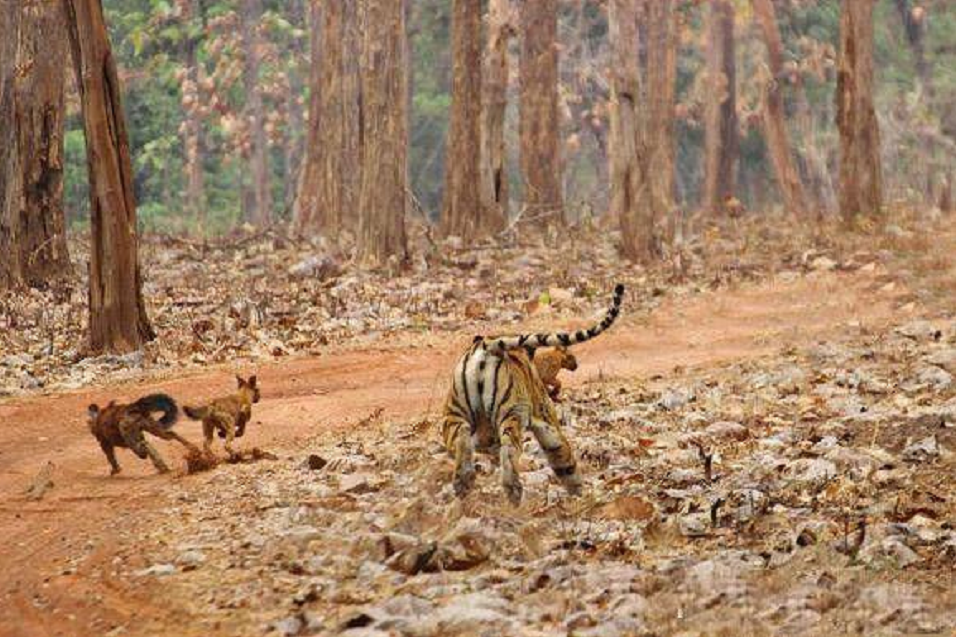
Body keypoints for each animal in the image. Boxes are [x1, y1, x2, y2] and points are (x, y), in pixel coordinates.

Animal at [442, 286, 628, 504]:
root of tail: (488, 345)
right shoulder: (549, 424)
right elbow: (566, 463)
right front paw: (579, 496)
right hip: (511, 415)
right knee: (510, 449)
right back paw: (512, 490)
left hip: (454, 414)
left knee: (461, 438)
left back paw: (464, 481)